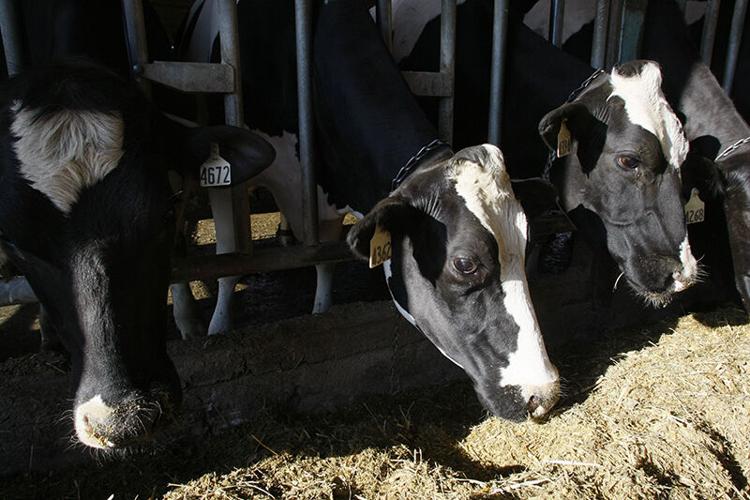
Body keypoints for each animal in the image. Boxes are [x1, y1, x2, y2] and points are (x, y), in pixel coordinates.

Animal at [178, 0, 562, 421]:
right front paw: (216, 331)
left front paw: (320, 313)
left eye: (526, 248)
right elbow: (229, 261)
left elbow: (324, 264)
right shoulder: (230, 175)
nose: (543, 395)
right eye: (464, 263)